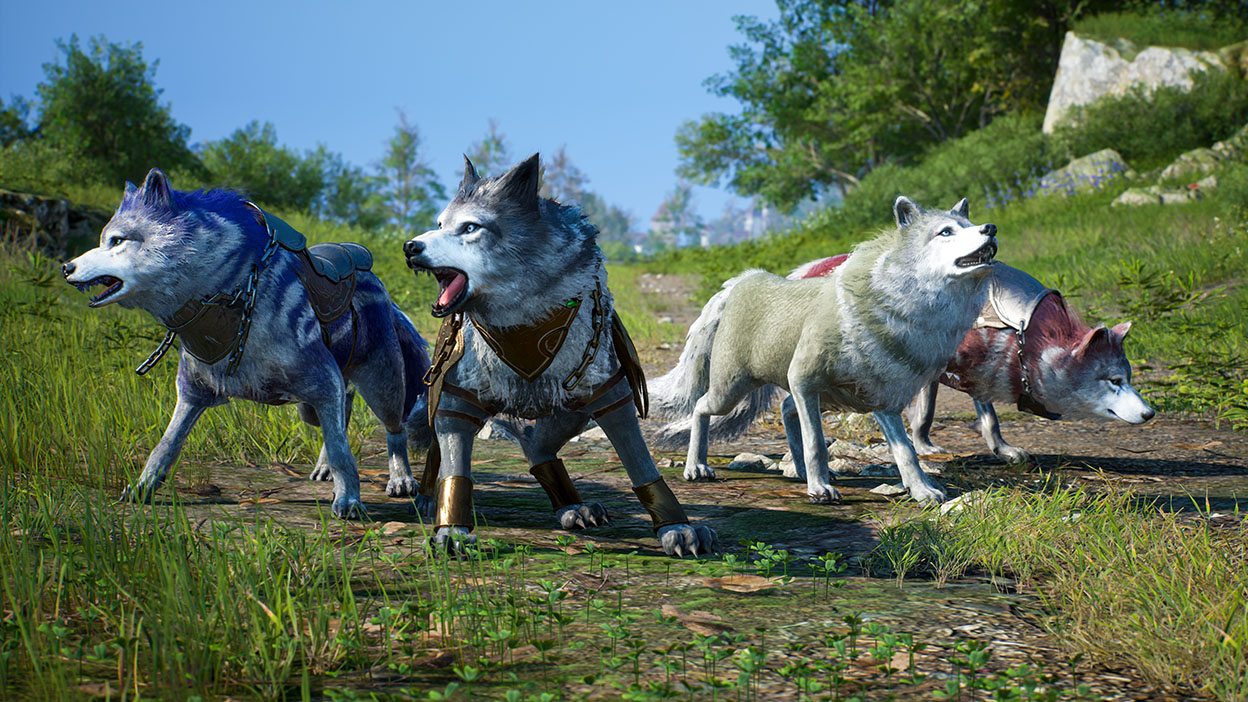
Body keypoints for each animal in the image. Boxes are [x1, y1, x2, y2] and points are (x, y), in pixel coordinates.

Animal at [64, 166, 434, 517]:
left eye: (117, 240)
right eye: (104, 240)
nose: (66, 267)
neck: (232, 293)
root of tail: (370, 272)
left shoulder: (323, 380)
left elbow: (344, 452)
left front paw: (349, 501)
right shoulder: (193, 392)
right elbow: (166, 445)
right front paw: (142, 488)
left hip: (381, 386)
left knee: (393, 428)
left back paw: (401, 479)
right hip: (315, 403)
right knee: (341, 415)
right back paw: (324, 468)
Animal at [404, 154, 718, 557]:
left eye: (470, 227)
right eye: (439, 224)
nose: (410, 247)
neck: (524, 320)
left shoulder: (612, 397)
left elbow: (640, 464)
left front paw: (677, 526)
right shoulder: (459, 401)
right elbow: (455, 466)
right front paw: (452, 529)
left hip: (574, 414)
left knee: (537, 446)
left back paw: (572, 505)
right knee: (443, 446)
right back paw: (429, 497)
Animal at [653, 197, 993, 502]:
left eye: (969, 225)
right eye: (946, 232)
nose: (991, 228)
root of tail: (745, 280)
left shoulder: (882, 400)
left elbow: (906, 452)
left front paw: (923, 491)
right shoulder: (803, 379)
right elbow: (816, 441)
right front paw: (820, 490)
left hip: (826, 397)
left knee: (785, 409)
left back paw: (801, 472)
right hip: (732, 389)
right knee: (701, 407)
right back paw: (696, 468)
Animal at [798, 257, 1148, 459]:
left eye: (1129, 378)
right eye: (1114, 380)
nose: (1151, 413)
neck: (1024, 336)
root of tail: (803, 271)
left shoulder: (975, 374)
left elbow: (964, 418)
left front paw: (1001, 451)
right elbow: (931, 413)